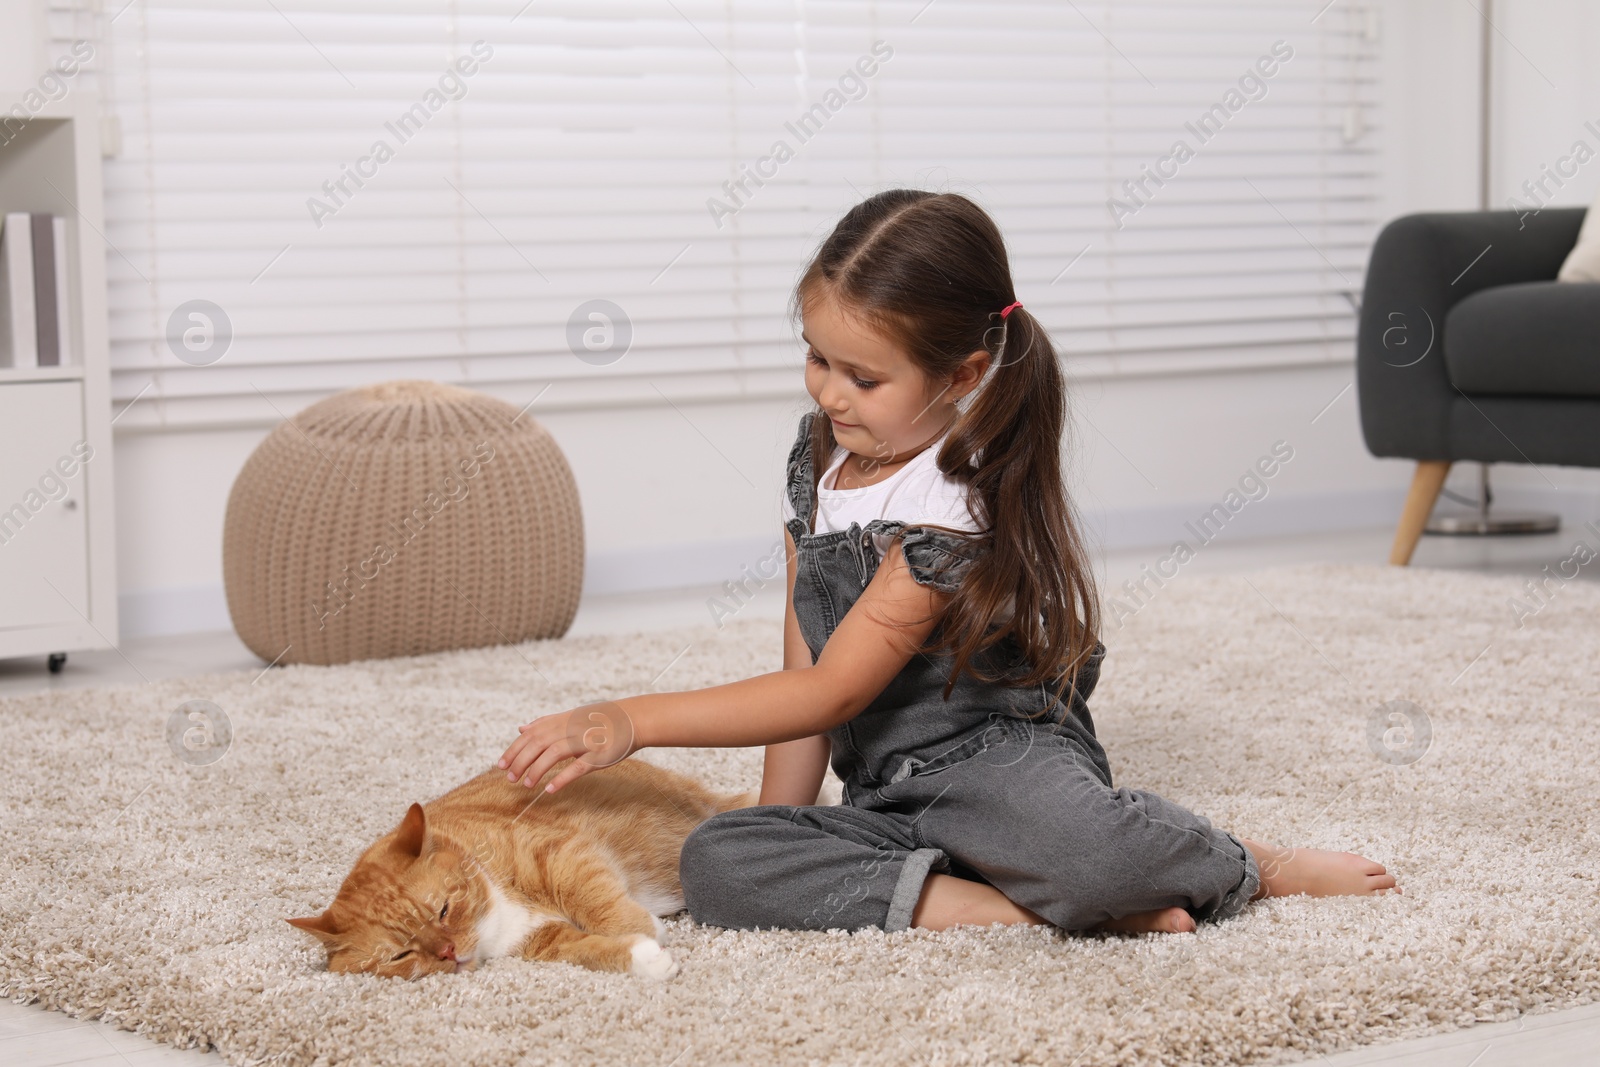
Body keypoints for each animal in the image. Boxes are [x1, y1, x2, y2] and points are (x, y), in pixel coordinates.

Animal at [289, 755, 755, 979]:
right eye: (400, 955)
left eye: (443, 910)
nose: (448, 953)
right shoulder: (542, 940)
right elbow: (585, 950)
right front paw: (644, 957)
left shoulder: (557, 853)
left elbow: (592, 898)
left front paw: (641, 928)